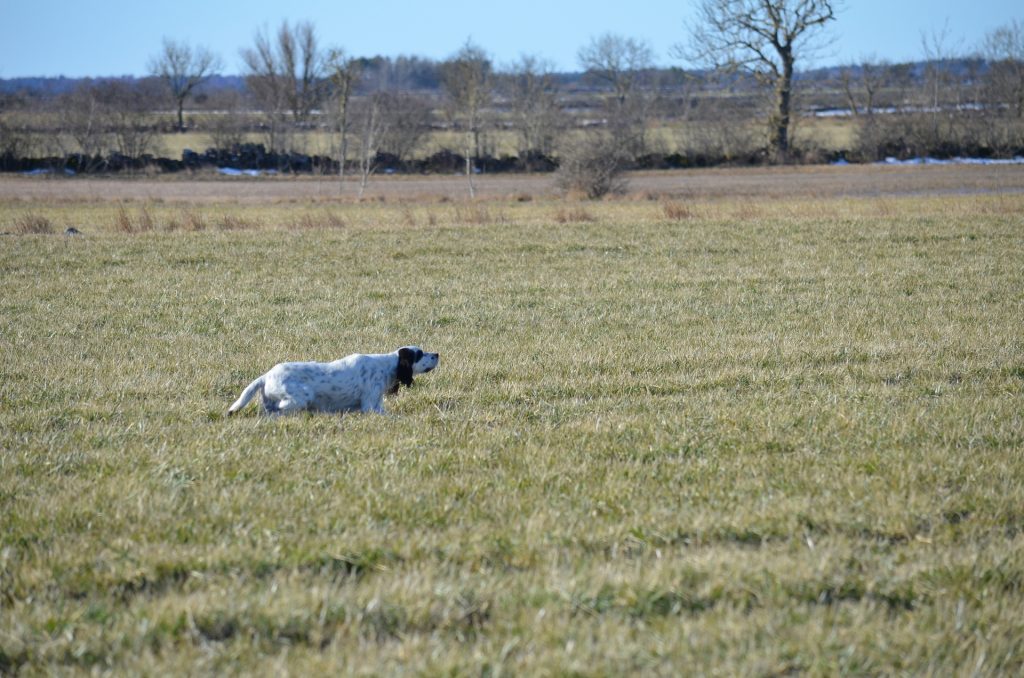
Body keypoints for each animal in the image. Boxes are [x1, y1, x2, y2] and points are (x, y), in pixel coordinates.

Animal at [227, 346, 439, 416]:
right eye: (420, 353)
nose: (437, 354)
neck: (386, 365)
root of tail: (267, 375)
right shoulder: (370, 405)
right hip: (302, 396)